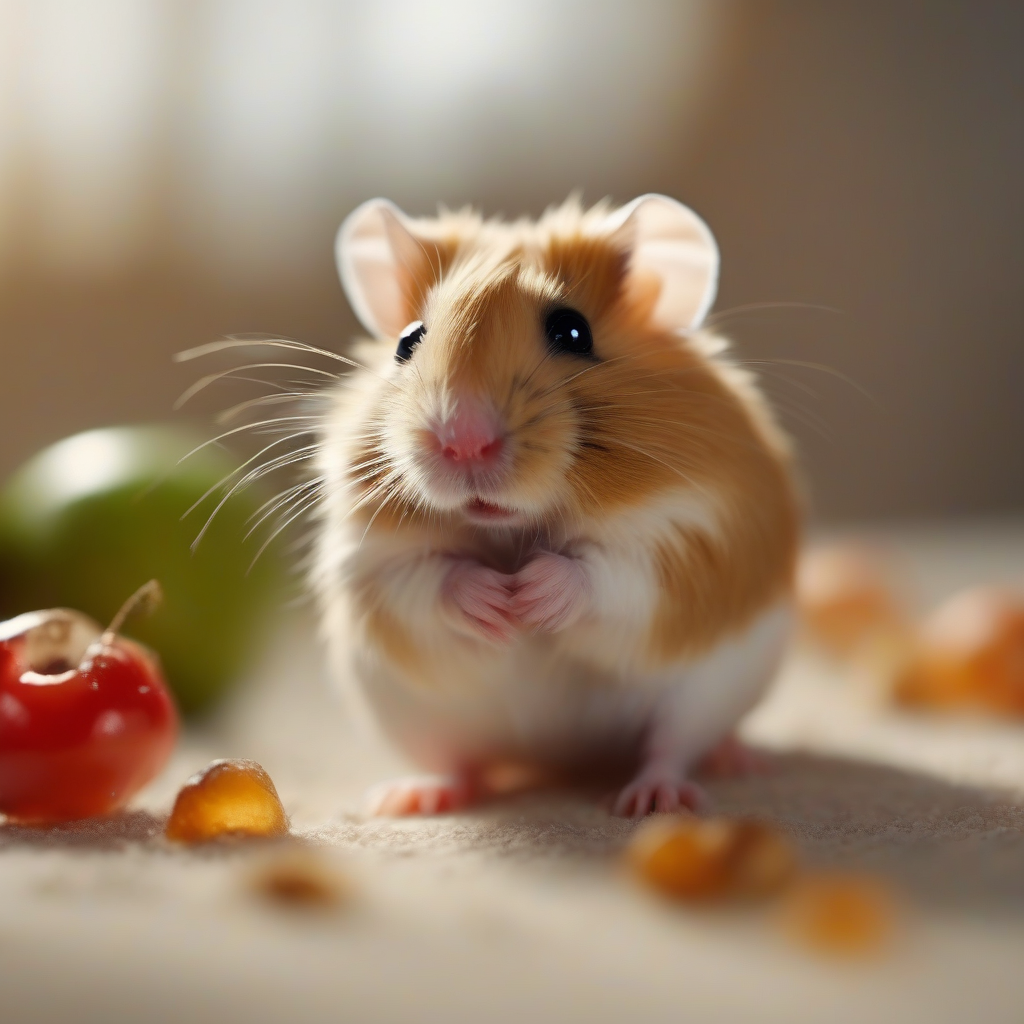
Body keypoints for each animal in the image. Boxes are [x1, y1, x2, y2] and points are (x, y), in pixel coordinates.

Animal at [312, 194, 799, 817]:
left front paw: (530, 594)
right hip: (415, 715)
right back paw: (411, 799)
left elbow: (607, 573)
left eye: (573, 331)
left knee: (672, 748)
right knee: (457, 762)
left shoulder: (693, 538)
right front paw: (500, 603)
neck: (515, 528)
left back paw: (671, 793)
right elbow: (430, 580)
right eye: (407, 341)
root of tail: (555, 760)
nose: (462, 442)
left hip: (704, 694)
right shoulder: (371, 561)